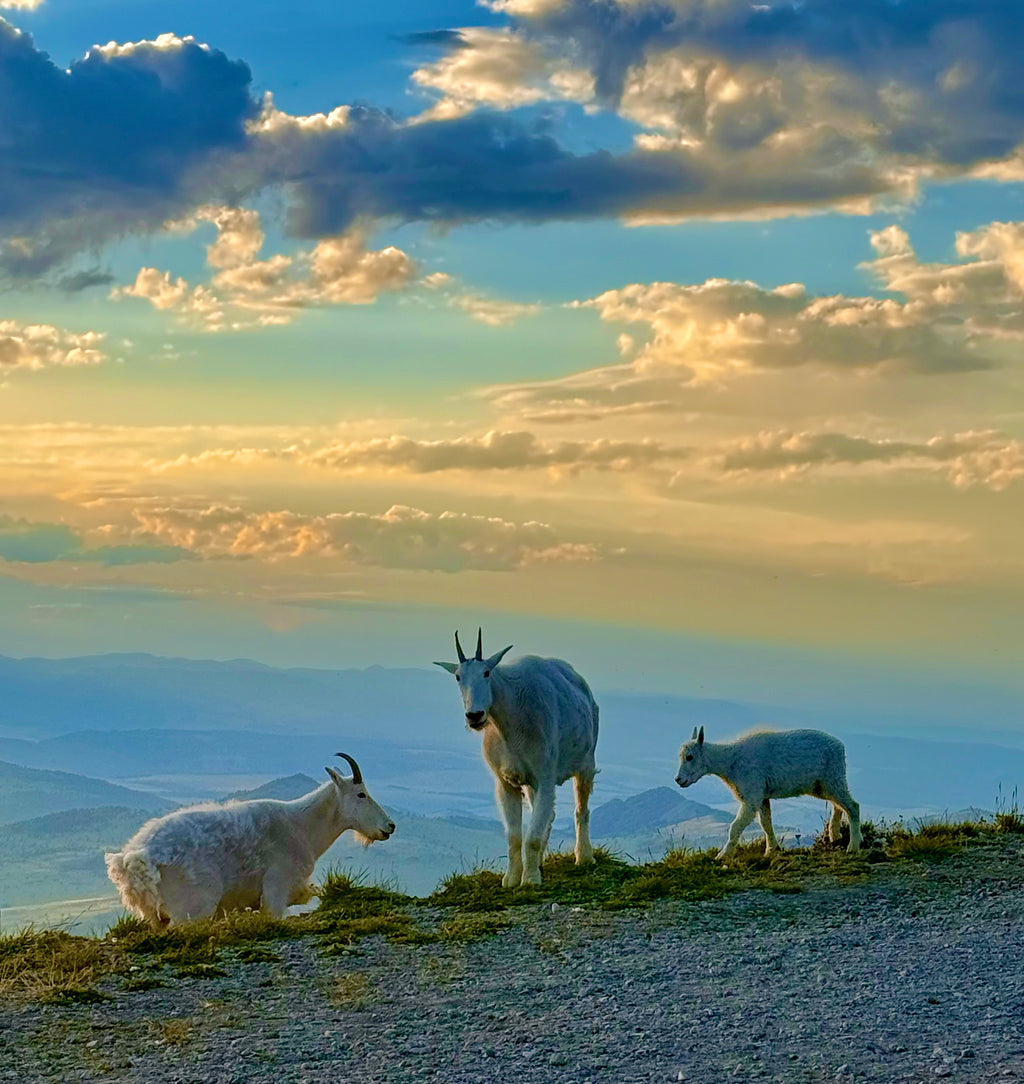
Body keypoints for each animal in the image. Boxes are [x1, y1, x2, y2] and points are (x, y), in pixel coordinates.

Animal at [105, 753, 394, 926]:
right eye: (360, 794)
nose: (389, 827)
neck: (301, 826)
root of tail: (136, 858)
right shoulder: (276, 888)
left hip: (153, 916)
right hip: (193, 907)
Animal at [435, 629, 599, 886]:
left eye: (486, 672)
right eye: (458, 677)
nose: (474, 716)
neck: (510, 721)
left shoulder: (545, 776)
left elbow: (532, 835)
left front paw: (530, 880)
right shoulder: (506, 782)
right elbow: (515, 836)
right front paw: (512, 879)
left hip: (586, 763)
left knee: (580, 810)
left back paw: (584, 857)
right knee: (548, 816)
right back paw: (540, 862)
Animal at [675, 727, 861, 858]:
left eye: (690, 757)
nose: (679, 780)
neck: (730, 762)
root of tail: (840, 747)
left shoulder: (751, 796)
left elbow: (735, 827)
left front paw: (722, 855)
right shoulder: (762, 797)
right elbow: (766, 824)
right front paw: (771, 849)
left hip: (832, 778)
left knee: (852, 806)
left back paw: (853, 846)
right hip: (822, 785)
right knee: (838, 805)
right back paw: (835, 835)